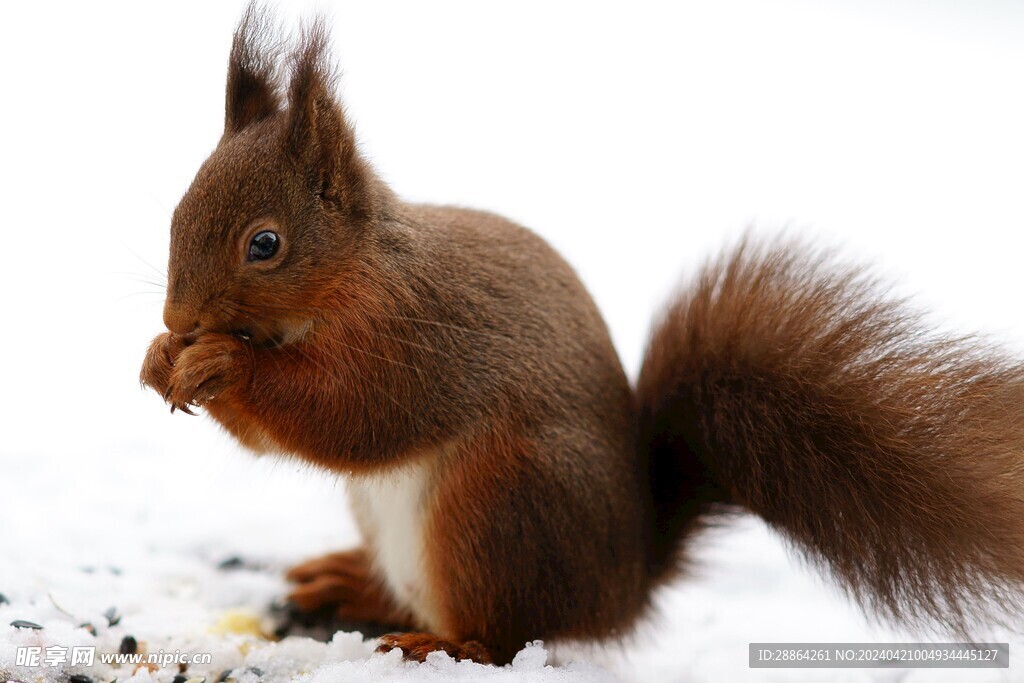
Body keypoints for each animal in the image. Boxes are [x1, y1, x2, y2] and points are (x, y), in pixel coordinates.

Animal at [140, 3, 1024, 667]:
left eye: (265, 244)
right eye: (178, 210)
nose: (179, 320)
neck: (359, 271)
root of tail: (623, 586)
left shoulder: (417, 338)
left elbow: (350, 416)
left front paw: (222, 364)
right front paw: (159, 360)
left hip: (500, 505)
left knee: (506, 635)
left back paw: (441, 644)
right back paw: (347, 581)